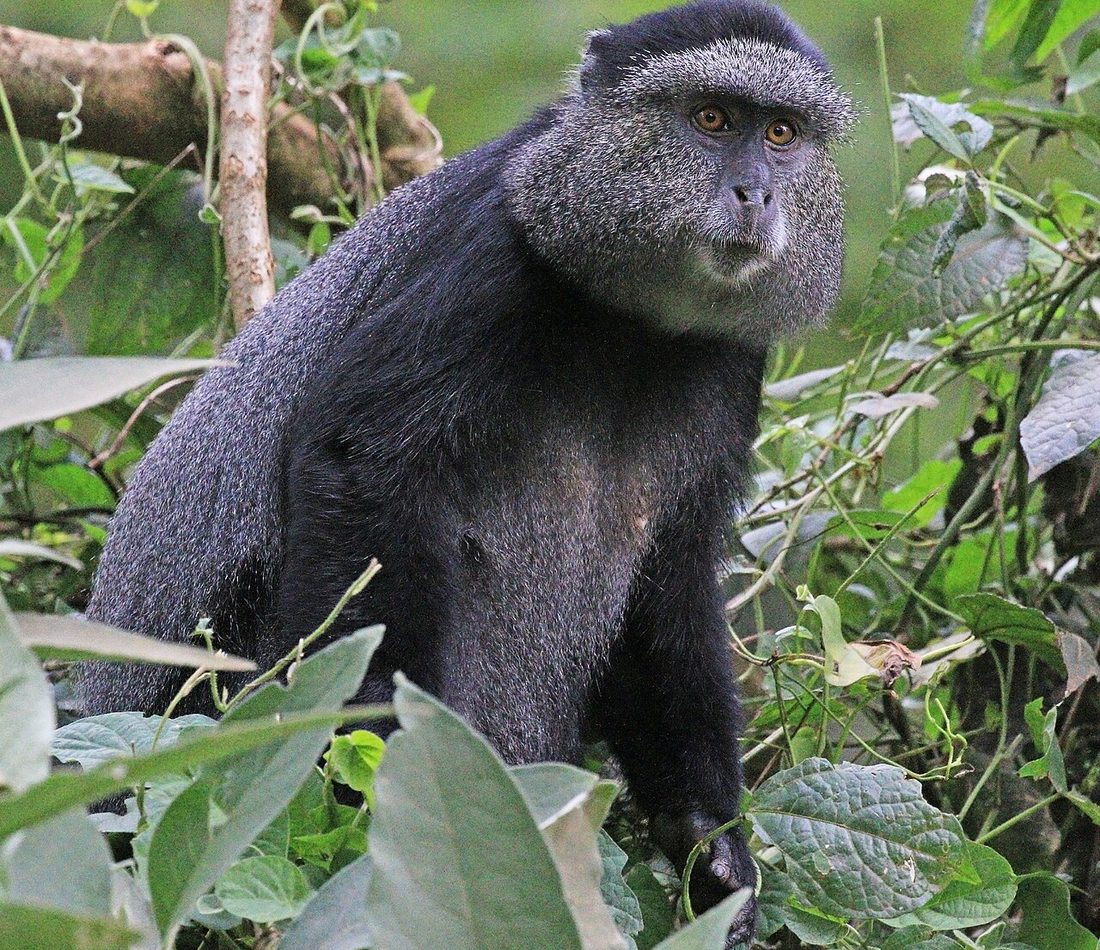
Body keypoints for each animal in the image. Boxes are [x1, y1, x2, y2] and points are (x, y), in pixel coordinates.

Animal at [82, 1, 854, 942]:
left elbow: (666, 579)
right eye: (712, 118)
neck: (632, 321)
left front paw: (712, 845)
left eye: (782, 133)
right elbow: (361, 461)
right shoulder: (487, 259)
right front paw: (389, 762)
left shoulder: (734, 363)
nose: (757, 193)